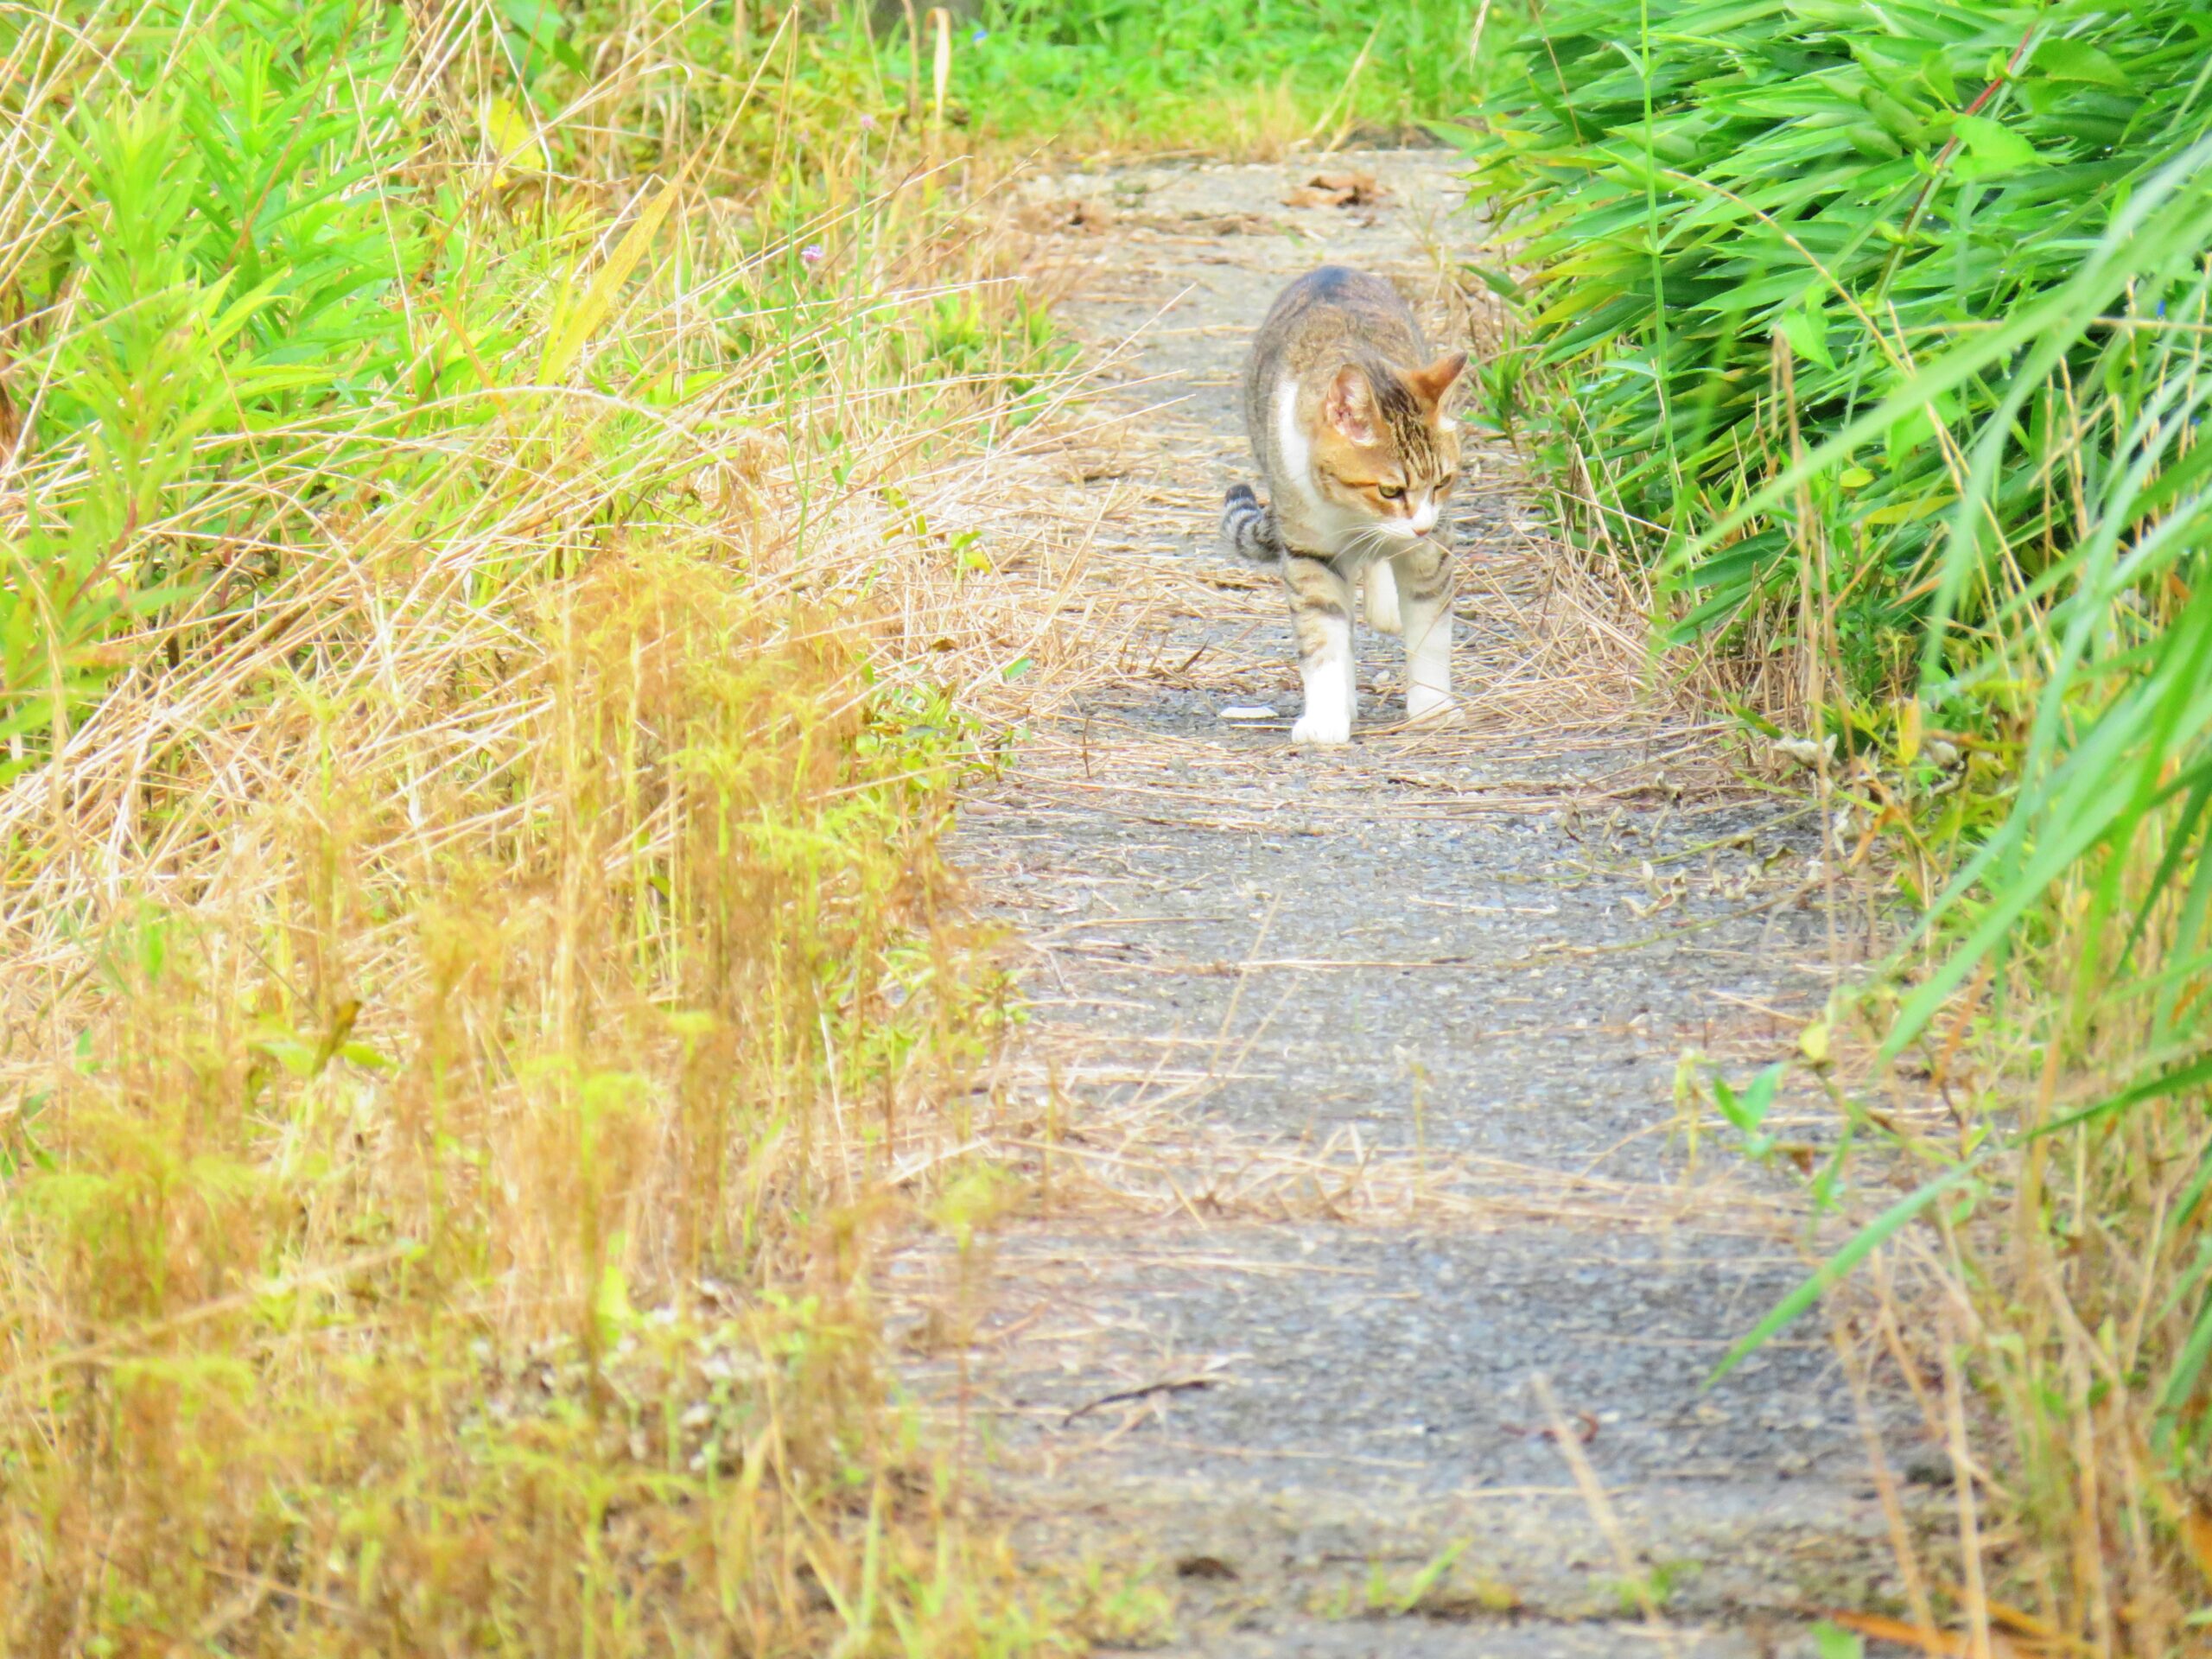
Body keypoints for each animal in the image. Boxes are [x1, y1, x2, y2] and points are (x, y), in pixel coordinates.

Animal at [1221, 264, 1459, 747]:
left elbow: (1430, 631)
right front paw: (1328, 717)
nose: (1421, 526)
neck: (1355, 516)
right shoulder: (1309, 551)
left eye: (1442, 483)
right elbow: (1323, 636)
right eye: (1390, 491)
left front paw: (1432, 708)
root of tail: (1331, 269)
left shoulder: (1430, 550)